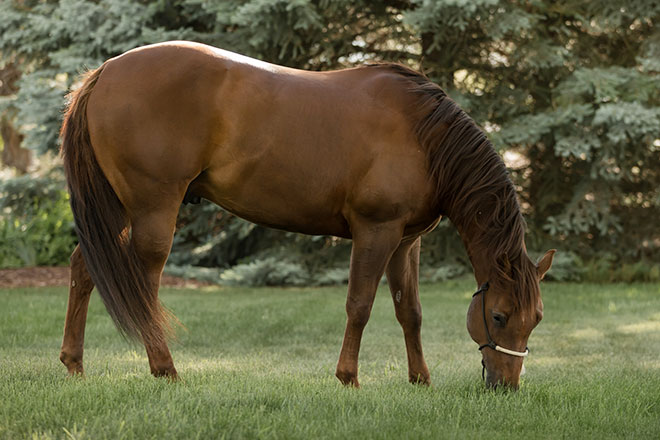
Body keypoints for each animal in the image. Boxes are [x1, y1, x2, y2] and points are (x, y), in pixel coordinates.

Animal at [59, 40, 556, 388]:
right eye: (499, 317)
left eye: (537, 319)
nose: (506, 386)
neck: (423, 135)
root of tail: (105, 72)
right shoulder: (375, 231)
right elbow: (360, 305)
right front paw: (348, 377)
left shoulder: (405, 241)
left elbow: (409, 311)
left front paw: (420, 379)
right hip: (151, 210)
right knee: (144, 283)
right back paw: (165, 369)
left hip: (116, 209)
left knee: (83, 268)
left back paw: (74, 364)